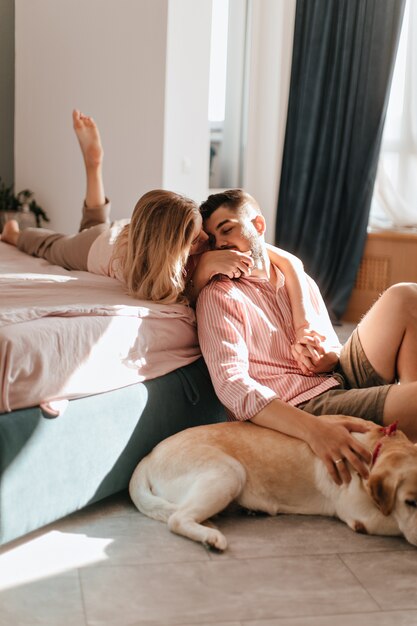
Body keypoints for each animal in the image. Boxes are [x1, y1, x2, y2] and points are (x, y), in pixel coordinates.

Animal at [128, 416, 416, 548]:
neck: (379, 446)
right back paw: (211, 536)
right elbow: (398, 524)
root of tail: (148, 456)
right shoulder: (362, 515)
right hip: (229, 472)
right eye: (410, 502)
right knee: (177, 519)